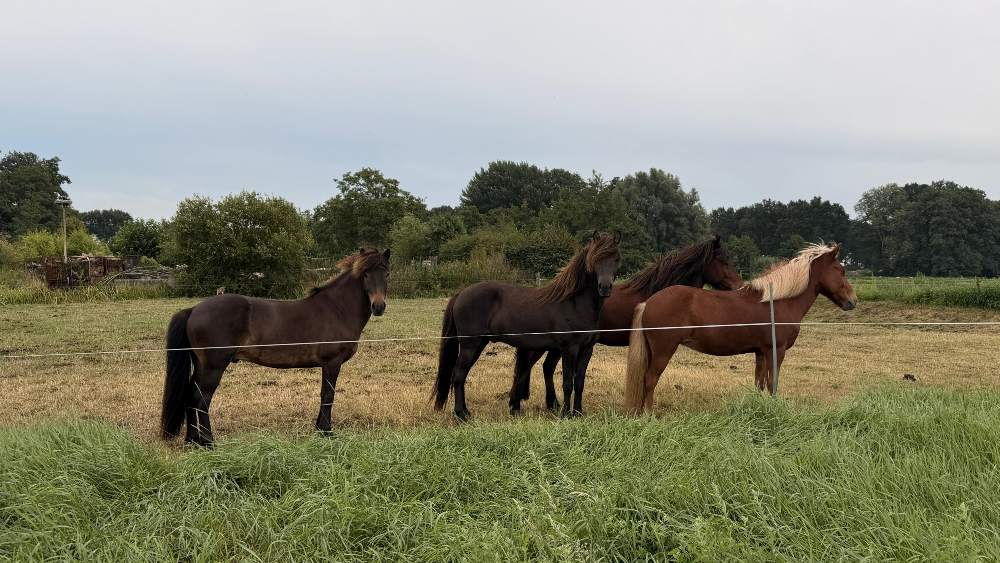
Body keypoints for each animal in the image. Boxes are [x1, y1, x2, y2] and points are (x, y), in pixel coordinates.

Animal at [161, 248, 391, 446]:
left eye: (387, 274)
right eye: (366, 275)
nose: (378, 306)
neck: (337, 309)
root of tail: (194, 309)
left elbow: (324, 395)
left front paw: (319, 430)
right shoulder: (332, 363)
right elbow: (327, 396)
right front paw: (327, 432)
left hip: (201, 364)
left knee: (190, 395)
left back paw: (193, 440)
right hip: (214, 366)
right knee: (201, 399)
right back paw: (209, 443)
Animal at [433, 232, 622, 420]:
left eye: (616, 258)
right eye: (595, 259)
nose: (605, 287)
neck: (575, 303)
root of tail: (461, 294)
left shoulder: (586, 350)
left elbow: (580, 383)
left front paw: (578, 413)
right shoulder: (569, 349)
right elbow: (568, 383)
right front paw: (566, 415)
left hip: (479, 344)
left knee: (462, 375)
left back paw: (466, 411)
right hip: (470, 345)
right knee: (458, 375)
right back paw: (461, 415)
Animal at [509, 236, 743, 415]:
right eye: (723, 261)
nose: (740, 286)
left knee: (546, 367)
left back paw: (551, 404)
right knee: (526, 367)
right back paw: (516, 404)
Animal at [623, 243, 857, 414]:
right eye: (842, 271)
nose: (853, 301)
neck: (777, 301)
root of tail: (648, 303)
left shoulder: (761, 353)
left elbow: (760, 383)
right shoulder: (776, 351)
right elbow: (772, 383)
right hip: (664, 351)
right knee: (650, 380)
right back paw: (650, 416)